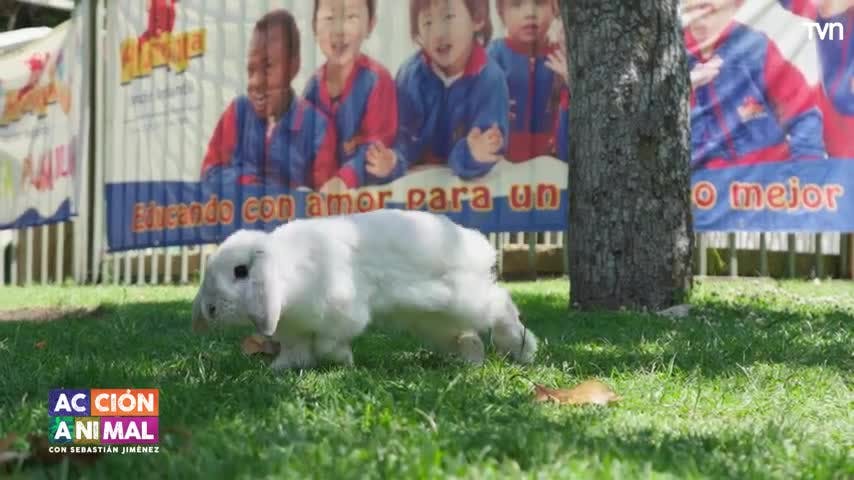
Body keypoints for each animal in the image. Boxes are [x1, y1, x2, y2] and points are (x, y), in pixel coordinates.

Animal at [191, 208, 538, 371]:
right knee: (468, 335)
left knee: (500, 304)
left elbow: (328, 345)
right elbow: (296, 352)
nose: (209, 309)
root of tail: (474, 243)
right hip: (435, 320)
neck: (288, 272)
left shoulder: (341, 315)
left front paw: (344, 361)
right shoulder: (295, 331)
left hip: (462, 298)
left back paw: (522, 348)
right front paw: (280, 369)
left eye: (240, 271)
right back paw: (470, 361)